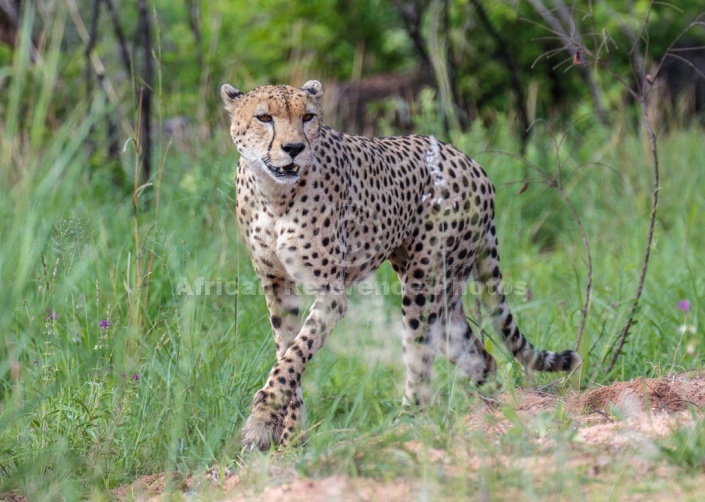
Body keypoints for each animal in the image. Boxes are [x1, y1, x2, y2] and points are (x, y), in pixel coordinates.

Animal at [220, 79, 576, 452]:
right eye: (264, 117)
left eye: (307, 117)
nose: (293, 148)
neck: (274, 194)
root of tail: (470, 162)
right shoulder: (276, 284)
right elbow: (288, 352)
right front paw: (288, 437)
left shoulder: (331, 292)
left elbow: (296, 353)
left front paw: (263, 413)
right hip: (445, 297)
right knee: (480, 357)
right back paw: (489, 411)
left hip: (423, 283)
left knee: (421, 355)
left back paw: (406, 422)